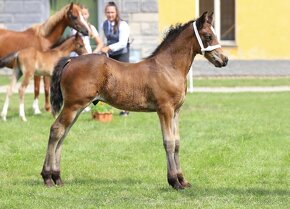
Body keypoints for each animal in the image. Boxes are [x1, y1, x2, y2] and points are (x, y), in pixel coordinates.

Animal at [40, 12, 228, 189]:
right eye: (208, 35)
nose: (224, 60)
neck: (168, 67)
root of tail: (71, 60)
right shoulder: (165, 110)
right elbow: (168, 142)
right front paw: (174, 181)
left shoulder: (176, 111)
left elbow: (177, 143)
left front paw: (182, 180)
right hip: (73, 106)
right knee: (56, 130)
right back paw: (48, 177)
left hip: (77, 108)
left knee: (63, 133)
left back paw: (57, 177)